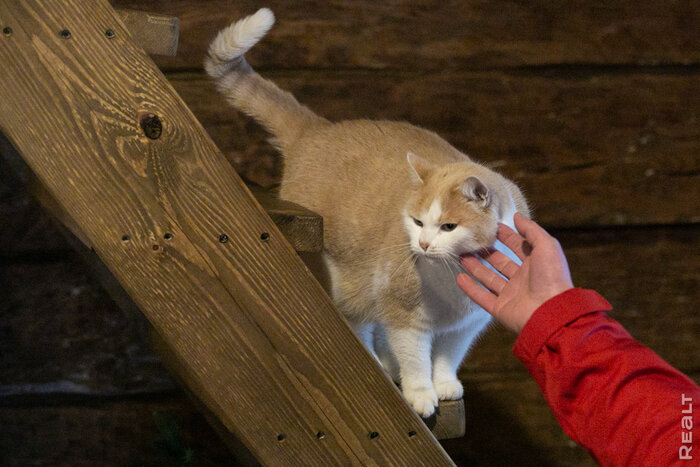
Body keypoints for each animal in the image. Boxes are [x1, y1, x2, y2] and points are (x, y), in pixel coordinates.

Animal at [206, 8, 532, 416]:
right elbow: (415, 359)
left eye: (448, 226)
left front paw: (445, 384)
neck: (451, 277)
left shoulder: (466, 325)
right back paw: (381, 367)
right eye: (417, 222)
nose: (423, 246)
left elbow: (447, 358)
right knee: (358, 327)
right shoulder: (404, 316)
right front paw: (420, 394)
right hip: (350, 283)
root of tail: (318, 129)